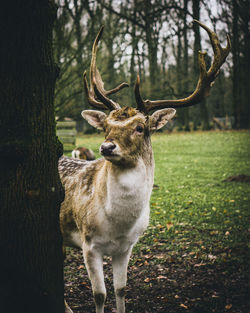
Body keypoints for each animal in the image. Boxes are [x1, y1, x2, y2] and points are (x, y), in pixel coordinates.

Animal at [59, 20, 230, 312]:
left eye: (140, 127)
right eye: (105, 126)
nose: (106, 147)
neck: (118, 224)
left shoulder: (127, 246)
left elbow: (121, 289)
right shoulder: (88, 243)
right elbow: (99, 294)